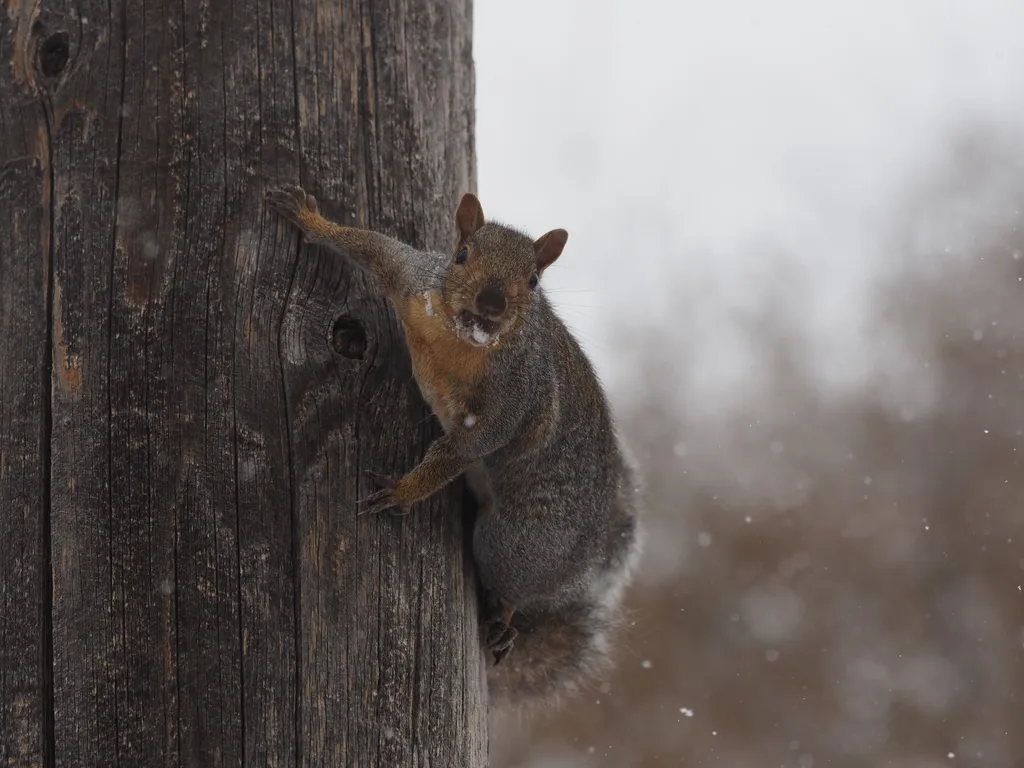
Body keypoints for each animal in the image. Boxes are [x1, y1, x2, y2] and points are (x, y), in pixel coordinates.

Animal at [267, 183, 643, 710]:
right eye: (462, 254)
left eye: (533, 280)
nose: (491, 302)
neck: (461, 341)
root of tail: (581, 564)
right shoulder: (412, 278)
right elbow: (371, 247)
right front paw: (310, 218)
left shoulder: (518, 397)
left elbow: (463, 450)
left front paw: (402, 491)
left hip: (514, 542)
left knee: (513, 589)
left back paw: (504, 621)